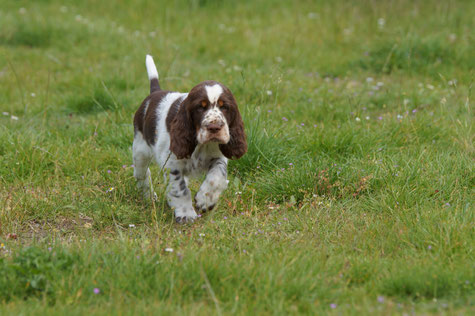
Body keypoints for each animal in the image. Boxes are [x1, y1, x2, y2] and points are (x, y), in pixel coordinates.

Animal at [132, 55, 247, 223]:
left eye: (225, 107)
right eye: (200, 107)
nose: (214, 127)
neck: (201, 144)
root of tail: (155, 93)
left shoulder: (218, 157)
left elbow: (217, 176)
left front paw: (205, 200)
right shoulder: (172, 163)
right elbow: (180, 189)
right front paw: (186, 214)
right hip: (140, 150)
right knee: (142, 174)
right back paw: (149, 197)